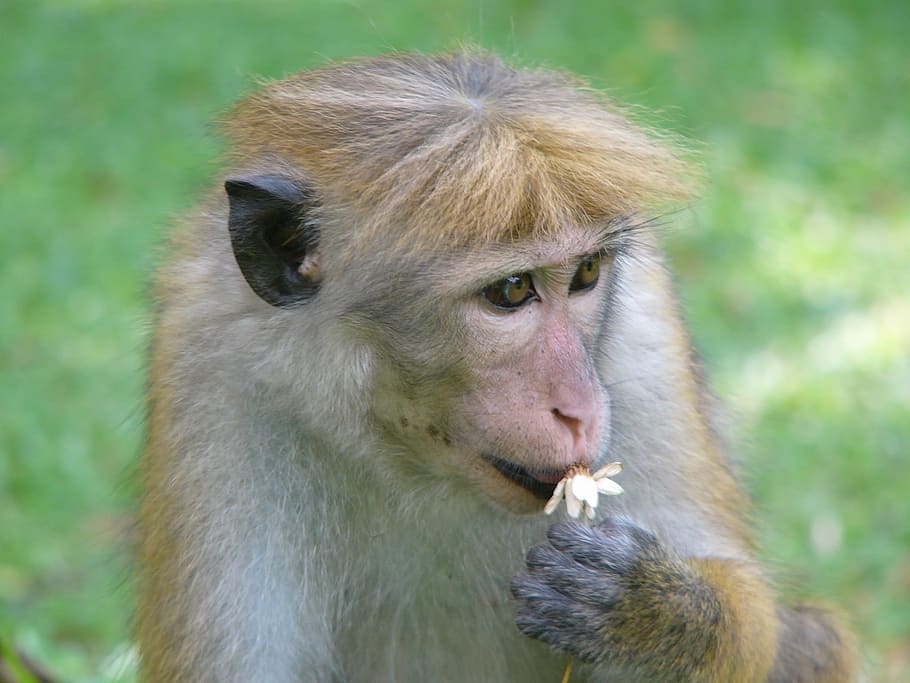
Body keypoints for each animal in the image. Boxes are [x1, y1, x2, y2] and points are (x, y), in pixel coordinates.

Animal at [137, 50, 857, 682]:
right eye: (510, 291)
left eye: (586, 274)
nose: (579, 409)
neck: (415, 460)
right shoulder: (213, 369)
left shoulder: (647, 336)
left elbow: (759, 617)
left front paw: (648, 611)